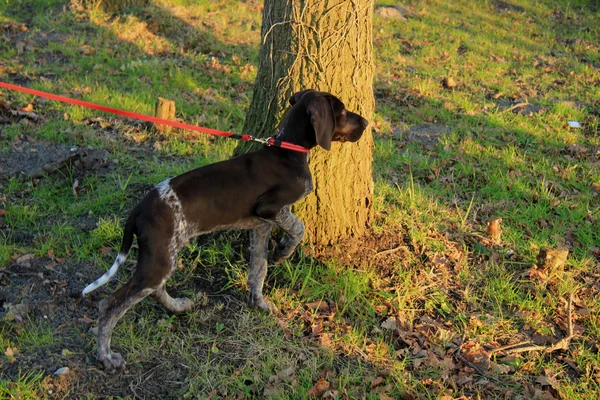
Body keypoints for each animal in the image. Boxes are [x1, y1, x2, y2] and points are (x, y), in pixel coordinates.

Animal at [82, 88, 368, 372]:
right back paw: (106, 356)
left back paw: (177, 306)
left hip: (164, 255)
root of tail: (140, 207)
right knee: (109, 305)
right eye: (342, 111)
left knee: (155, 289)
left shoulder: (260, 225)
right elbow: (299, 228)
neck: (288, 152)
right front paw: (284, 250)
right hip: (159, 259)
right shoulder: (270, 208)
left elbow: (258, 269)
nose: (366, 123)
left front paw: (259, 302)